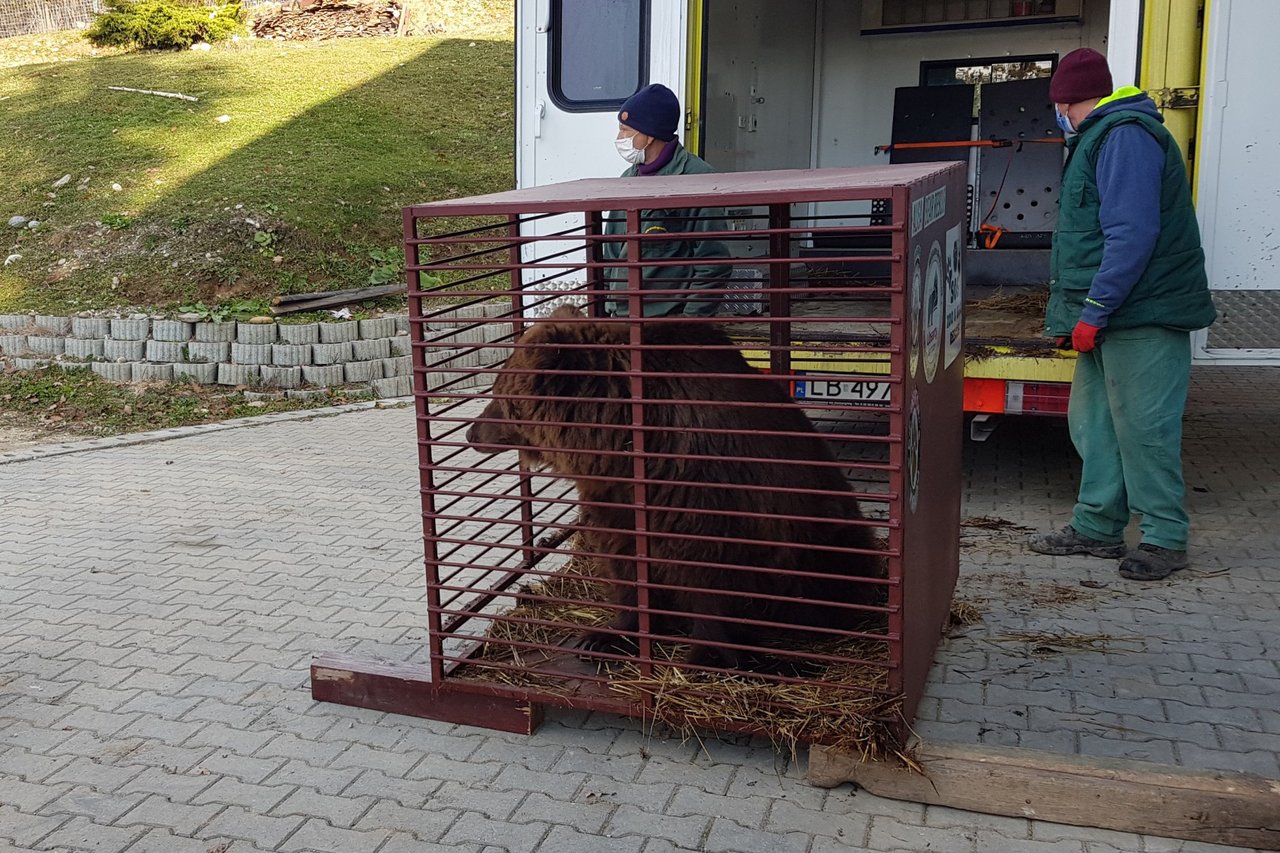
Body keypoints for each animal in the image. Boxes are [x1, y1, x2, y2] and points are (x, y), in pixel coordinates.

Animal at [465, 306, 885, 671]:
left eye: (500, 398)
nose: (472, 433)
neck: (626, 445)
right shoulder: (615, 497)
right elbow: (626, 561)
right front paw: (605, 637)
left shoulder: (703, 490)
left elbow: (709, 575)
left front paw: (712, 654)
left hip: (823, 540)